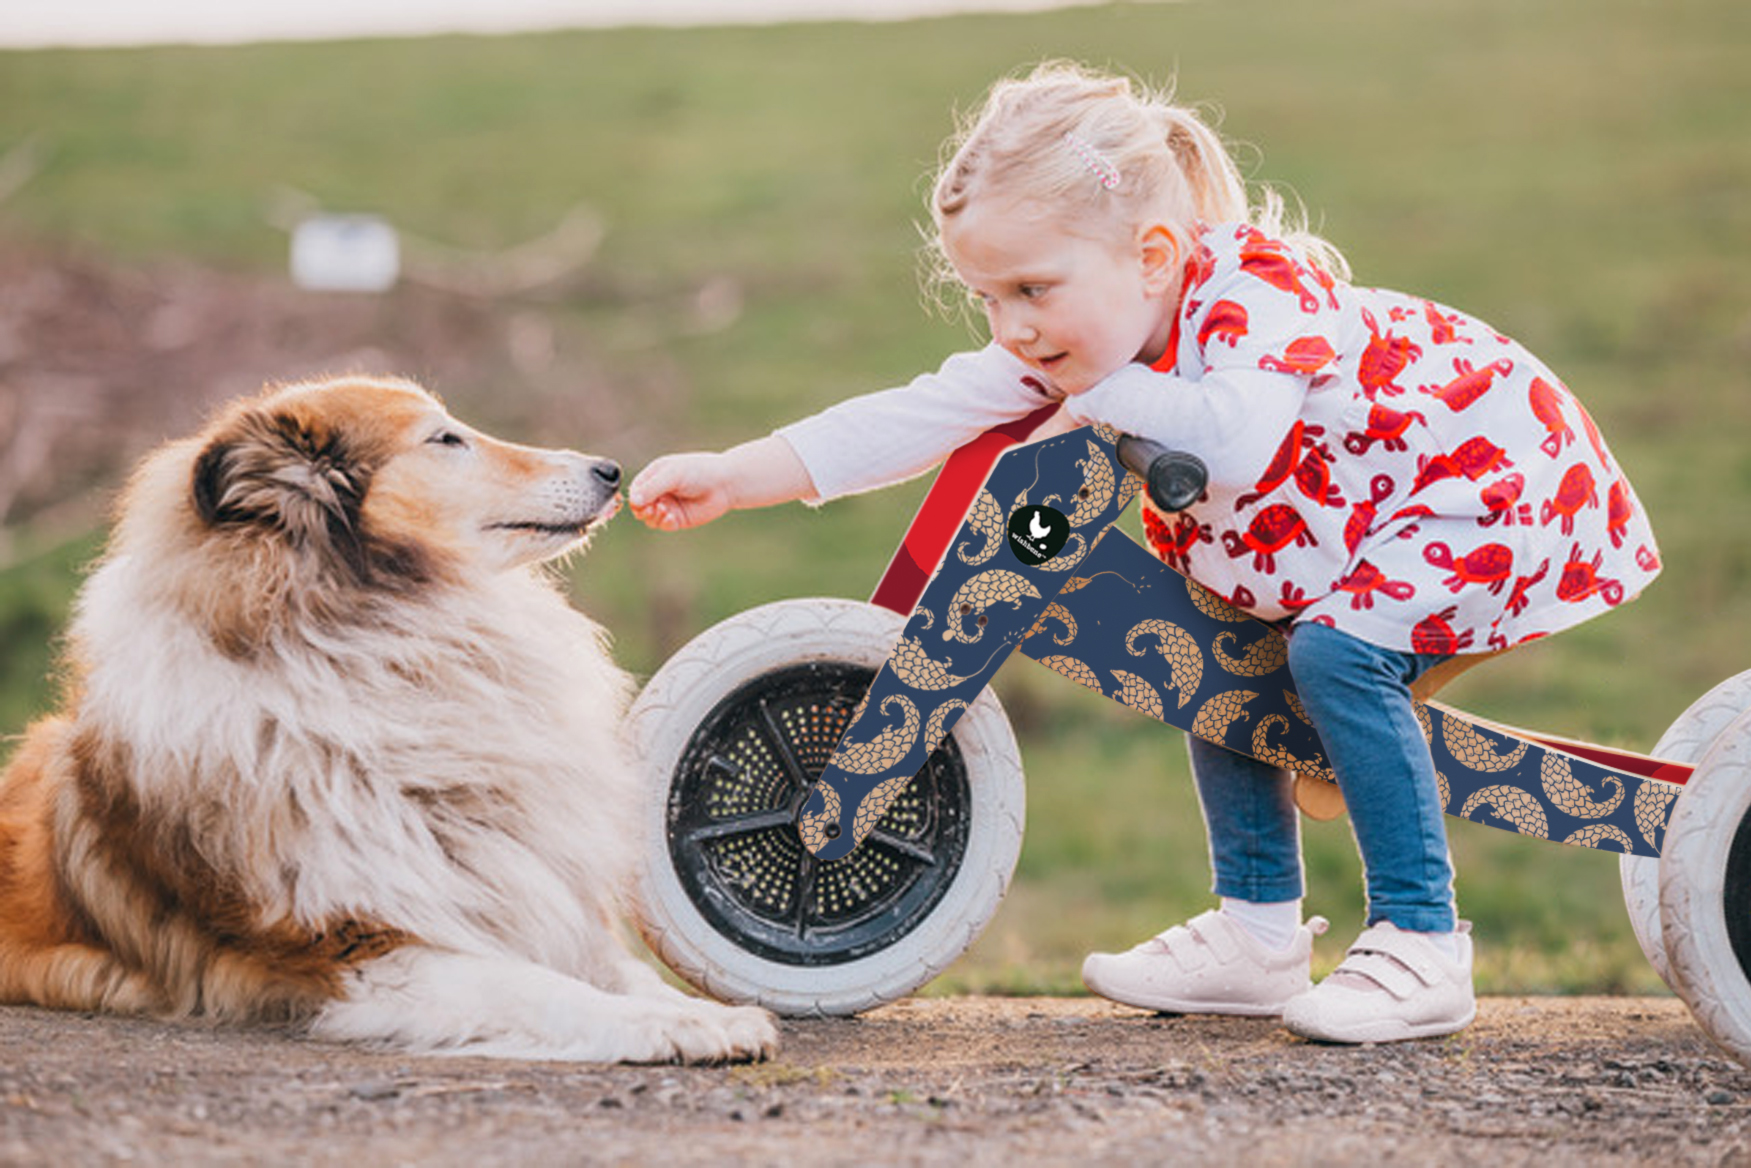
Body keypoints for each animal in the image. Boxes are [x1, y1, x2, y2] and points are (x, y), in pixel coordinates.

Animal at [0, 376, 780, 1071]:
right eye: (445, 439)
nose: (611, 470)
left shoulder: (529, 893)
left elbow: (620, 971)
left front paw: (699, 1007)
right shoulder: (360, 947)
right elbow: (544, 988)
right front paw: (682, 1025)